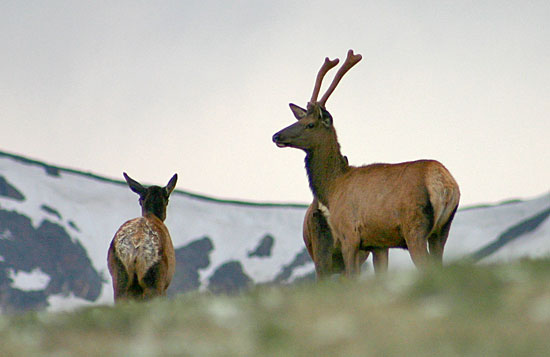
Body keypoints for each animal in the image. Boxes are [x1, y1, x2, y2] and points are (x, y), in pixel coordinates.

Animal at [274, 48, 462, 276]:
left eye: (310, 124)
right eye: (298, 119)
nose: (276, 136)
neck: (332, 188)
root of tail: (444, 184)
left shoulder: (349, 235)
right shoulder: (378, 243)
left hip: (415, 228)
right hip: (442, 230)